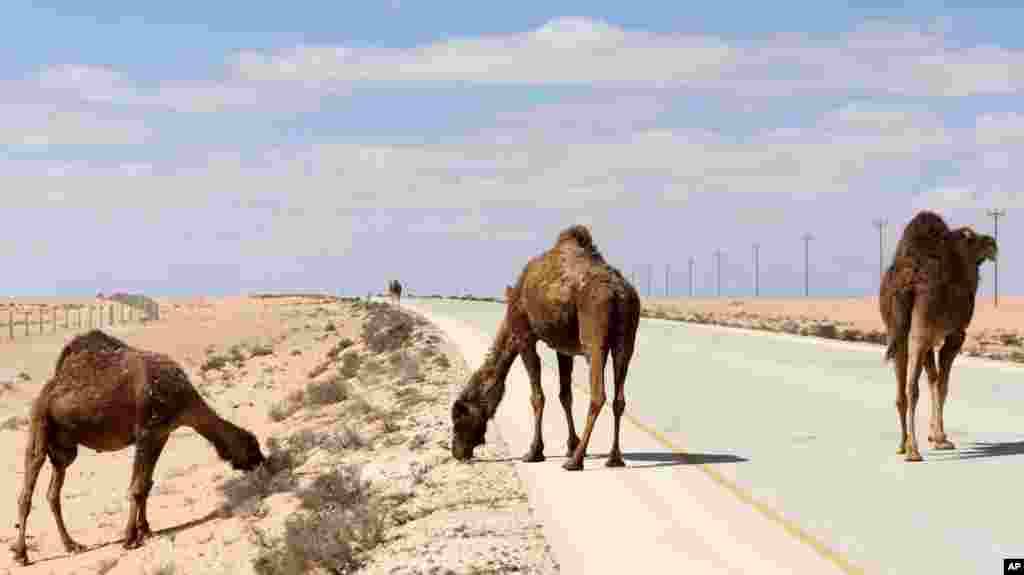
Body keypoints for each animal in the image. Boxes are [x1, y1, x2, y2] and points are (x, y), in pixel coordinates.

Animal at [11, 330, 265, 566]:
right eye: (253, 445)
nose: (262, 462)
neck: (183, 400)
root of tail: (47, 389)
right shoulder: (147, 432)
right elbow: (137, 487)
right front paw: (130, 538)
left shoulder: (161, 434)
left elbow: (146, 485)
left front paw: (145, 530)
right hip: (39, 424)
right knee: (28, 486)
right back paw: (21, 553)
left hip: (64, 448)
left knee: (53, 492)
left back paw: (72, 545)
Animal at [451, 225, 641, 471]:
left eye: (459, 418)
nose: (456, 451)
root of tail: (618, 292)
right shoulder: (564, 348)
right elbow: (565, 395)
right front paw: (571, 444)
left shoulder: (524, 336)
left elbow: (537, 397)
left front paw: (534, 452)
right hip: (626, 338)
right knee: (619, 396)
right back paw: (613, 458)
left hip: (594, 334)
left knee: (598, 394)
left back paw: (575, 461)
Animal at [880, 211, 997, 462]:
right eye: (973, 238)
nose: (993, 243)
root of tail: (907, 283)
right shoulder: (954, 335)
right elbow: (942, 384)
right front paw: (941, 439)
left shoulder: (930, 338)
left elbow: (933, 379)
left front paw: (935, 437)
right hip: (920, 326)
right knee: (912, 387)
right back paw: (913, 451)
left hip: (895, 331)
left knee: (901, 388)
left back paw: (902, 445)